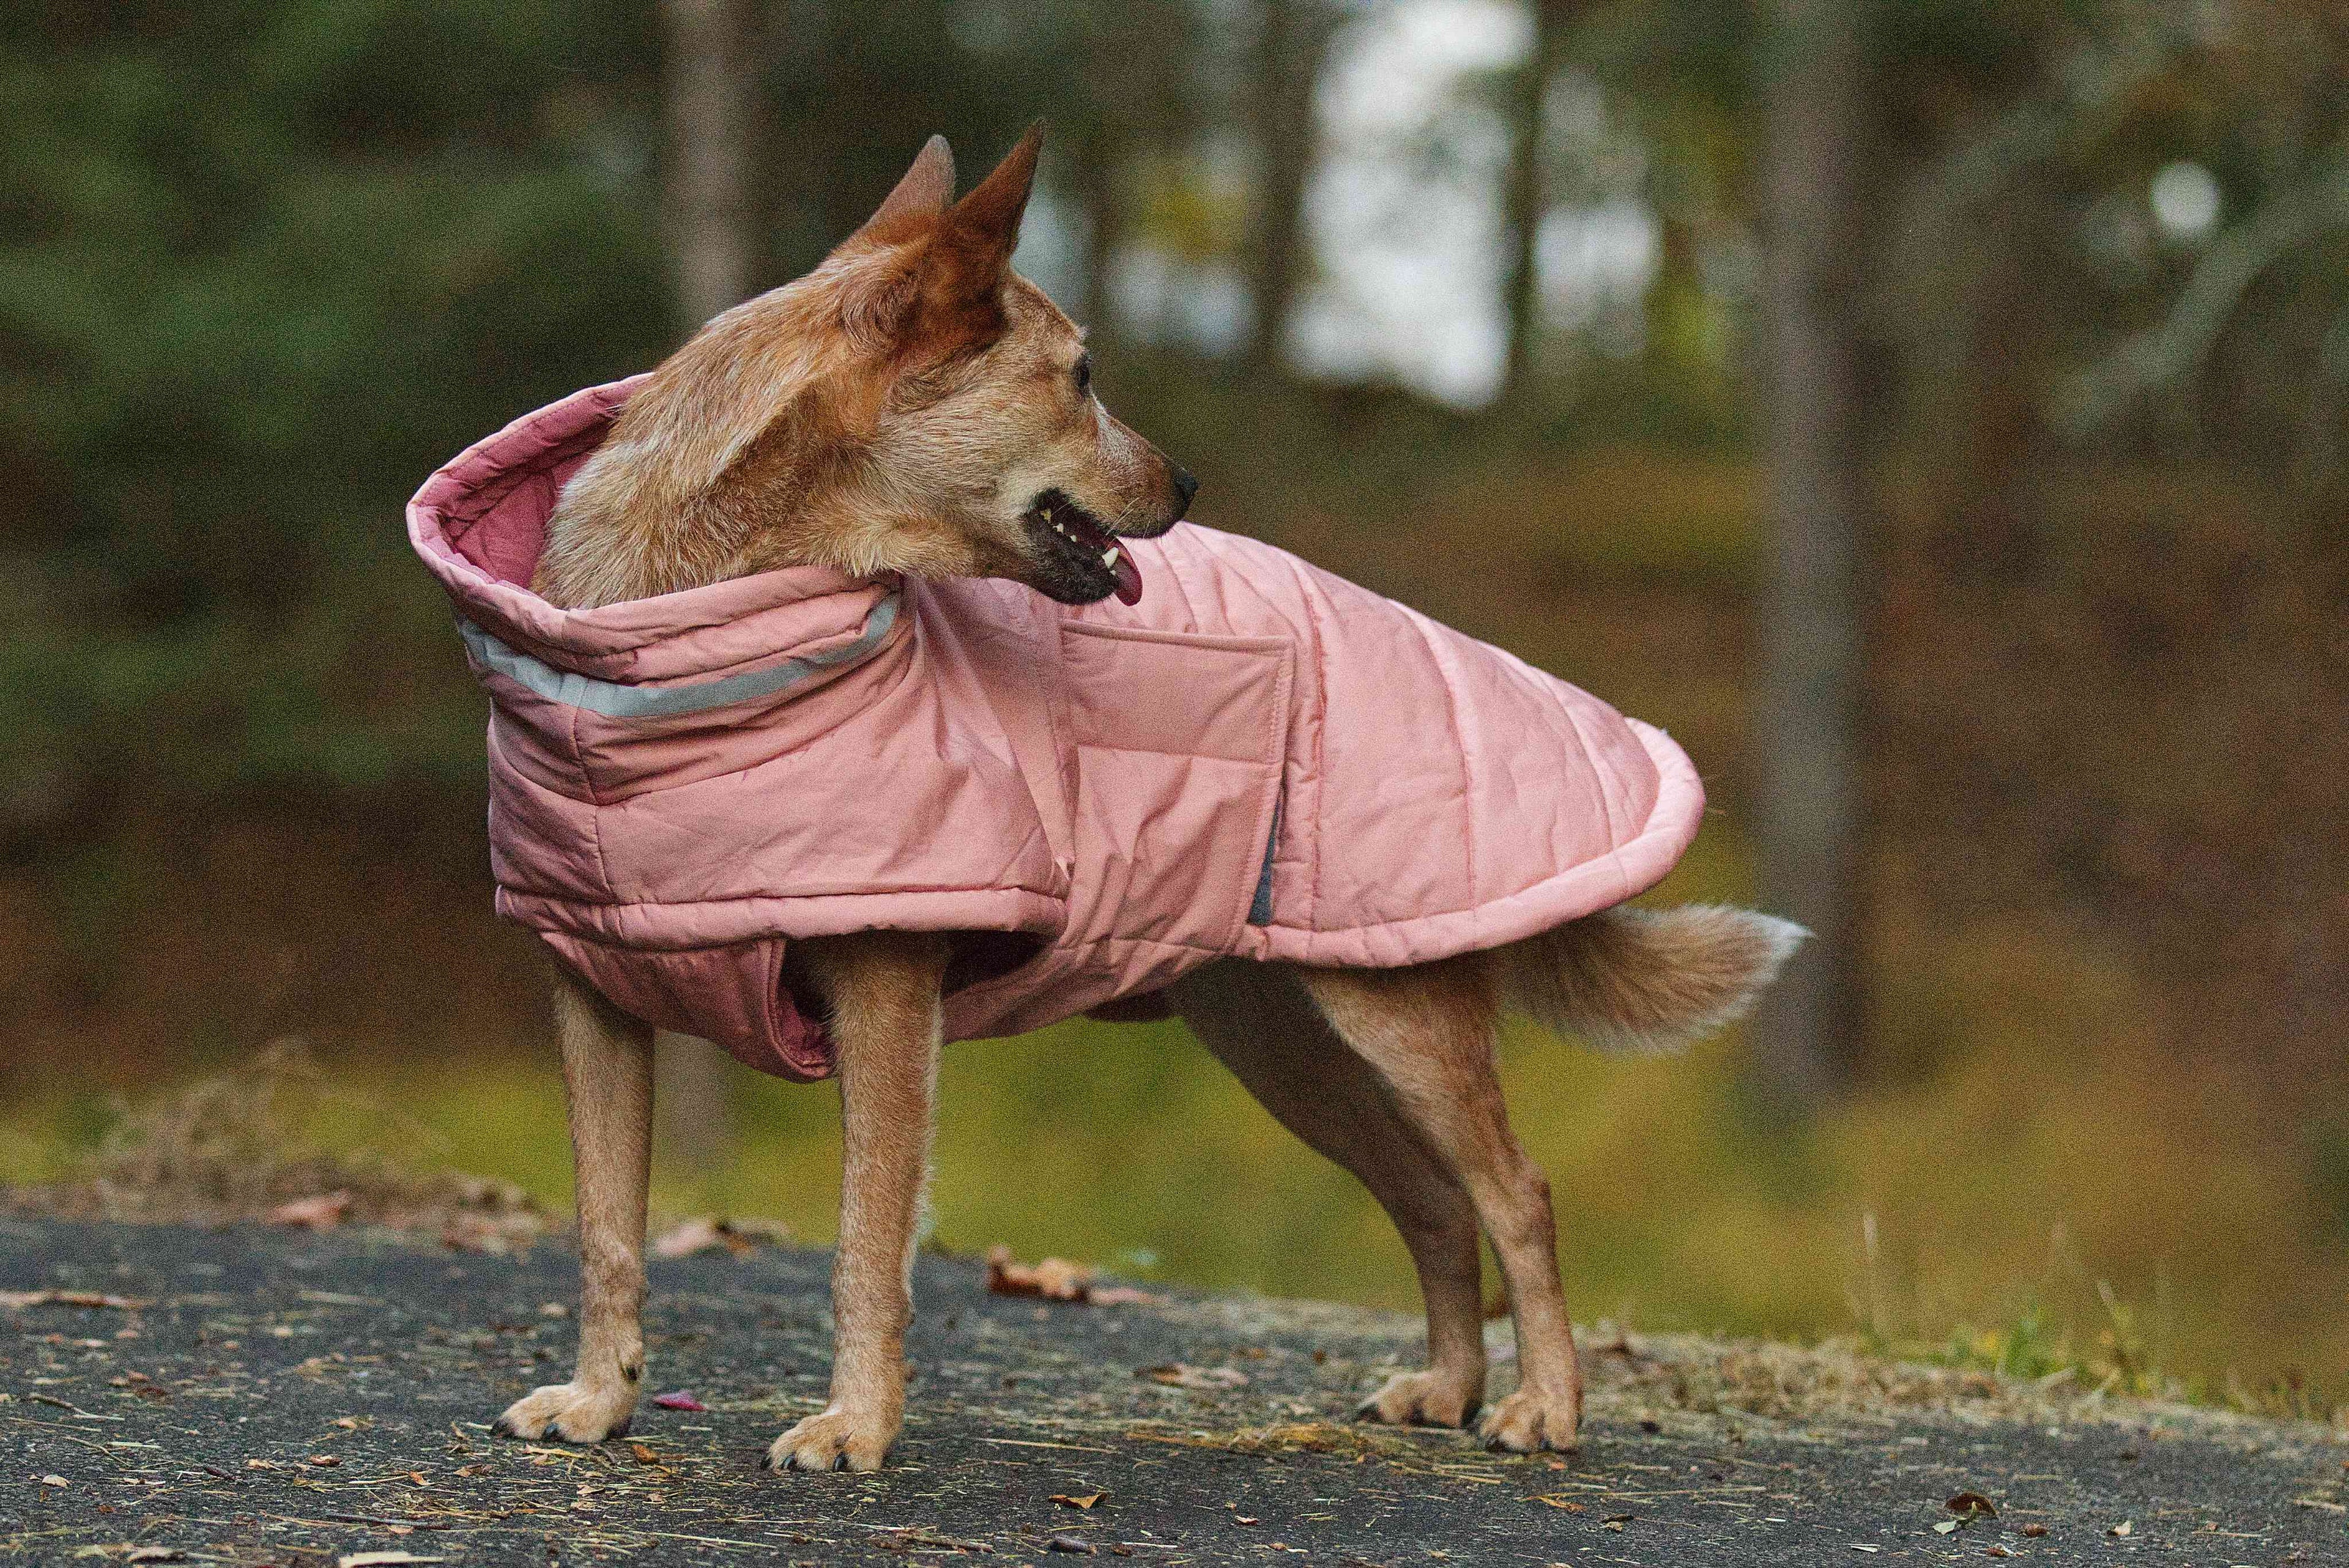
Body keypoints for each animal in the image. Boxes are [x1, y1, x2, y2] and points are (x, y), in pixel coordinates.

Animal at [423, 128, 1804, 1474]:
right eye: (1082, 375)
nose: (1188, 484)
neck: (670, 645)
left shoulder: (886, 992)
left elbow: (867, 1243)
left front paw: (855, 1427)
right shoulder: (596, 993)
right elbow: (606, 1230)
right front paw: (600, 1399)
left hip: (1403, 1023)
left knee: (1520, 1192)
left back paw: (1545, 1407)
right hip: (1292, 1049)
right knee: (1434, 1200)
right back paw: (1449, 1386)